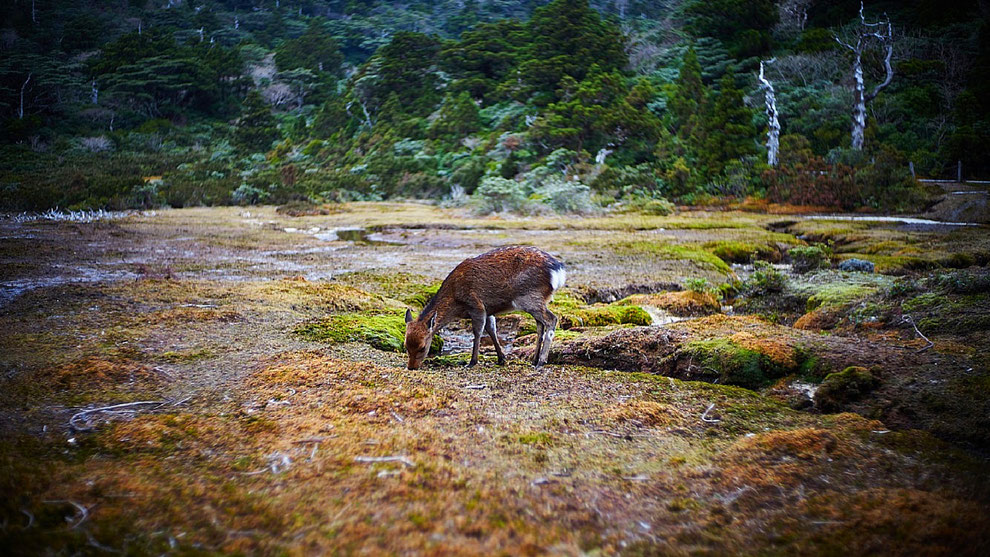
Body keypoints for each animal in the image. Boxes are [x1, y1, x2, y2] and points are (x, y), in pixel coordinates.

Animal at [406, 247, 568, 370]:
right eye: (406, 346)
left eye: (422, 347)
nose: (411, 367)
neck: (455, 302)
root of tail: (558, 271)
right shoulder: (489, 310)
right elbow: (491, 330)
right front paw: (501, 358)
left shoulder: (476, 305)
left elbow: (478, 332)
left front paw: (472, 362)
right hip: (538, 300)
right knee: (540, 324)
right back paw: (534, 360)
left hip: (529, 298)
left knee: (551, 319)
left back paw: (541, 361)